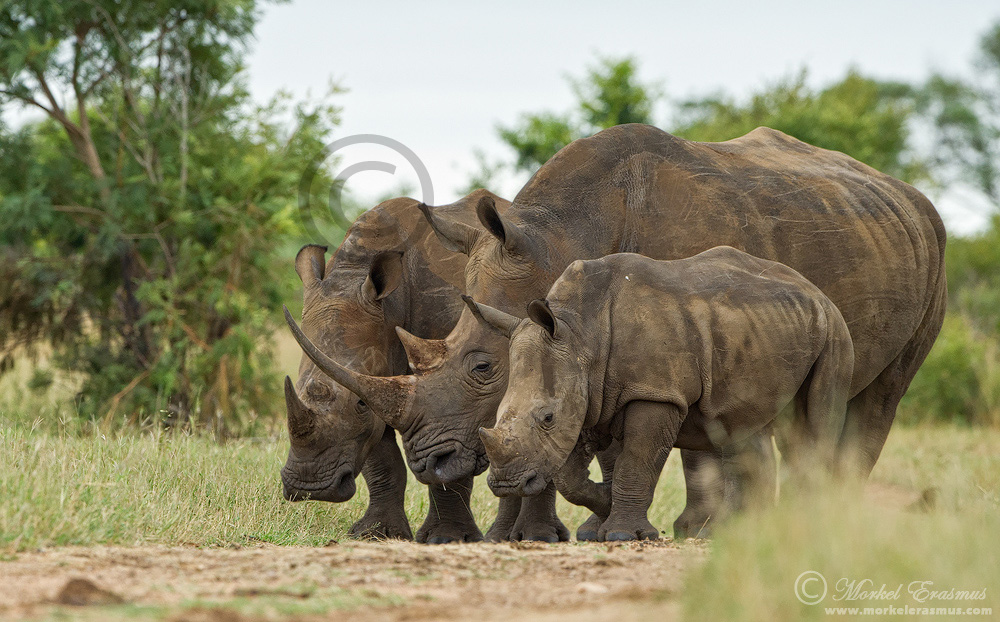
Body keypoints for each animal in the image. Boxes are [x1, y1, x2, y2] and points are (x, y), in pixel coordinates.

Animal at [282, 189, 513, 542]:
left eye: (360, 404)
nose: (309, 488)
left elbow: (447, 457)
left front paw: (446, 539)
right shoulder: (376, 380)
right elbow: (383, 461)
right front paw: (376, 534)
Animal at [470, 248, 856, 540]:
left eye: (547, 416)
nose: (506, 484)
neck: (580, 333)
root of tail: (817, 292)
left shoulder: (654, 392)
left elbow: (636, 460)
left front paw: (623, 535)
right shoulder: (592, 396)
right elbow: (571, 477)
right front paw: (605, 502)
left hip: (835, 331)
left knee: (813, 425)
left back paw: (808, 525)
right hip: (768, 329)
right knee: (744, 428)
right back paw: (733, 532)